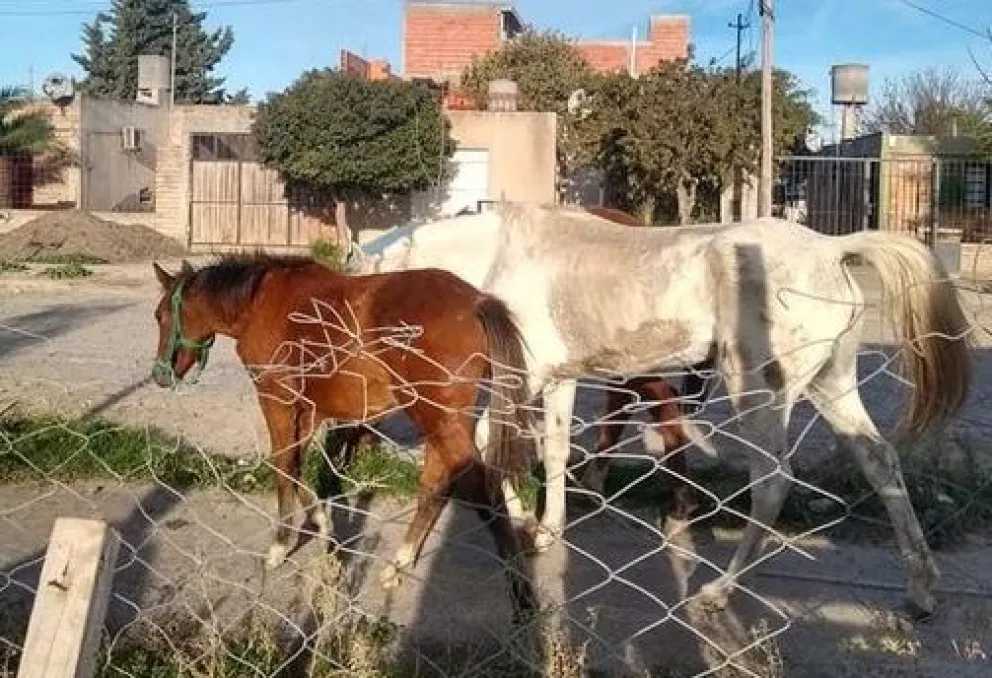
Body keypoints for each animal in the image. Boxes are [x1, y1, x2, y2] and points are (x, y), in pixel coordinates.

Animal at [149, 253, 536, 618]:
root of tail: (476, 301)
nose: (160, 375)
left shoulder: (277, 401)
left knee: (484, 492)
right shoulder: (308, 411)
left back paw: (521, 593)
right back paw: (399, 564)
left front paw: (280, 545)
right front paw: (322, 524)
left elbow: (283, 465)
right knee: (436, 488)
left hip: (439, 421)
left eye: (160, 315)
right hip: (443, 424)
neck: (259, 301)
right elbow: (296, 465)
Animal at [345, 202, 973, 618]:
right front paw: (538, 524)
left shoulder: (532, 375)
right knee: (881, 464)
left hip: (759, 394)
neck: (500, 257)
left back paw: (718, 593)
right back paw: (921, 589)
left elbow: (499, 444)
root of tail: (830, 248)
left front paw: (526, 524)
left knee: (772, 482)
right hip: (831, 387)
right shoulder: (558, 379)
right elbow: (542, 449)